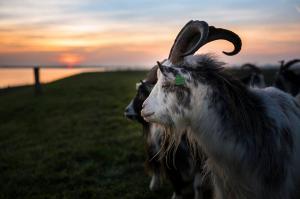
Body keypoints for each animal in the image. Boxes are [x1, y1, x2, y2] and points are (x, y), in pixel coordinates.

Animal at [123, 66, 211, 199]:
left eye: (142, 95)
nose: (126, 111)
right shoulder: (169, 161)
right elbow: (176, 181)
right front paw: (176, 196)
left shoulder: (200, 160)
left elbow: (198, 185)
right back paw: (154, 185)